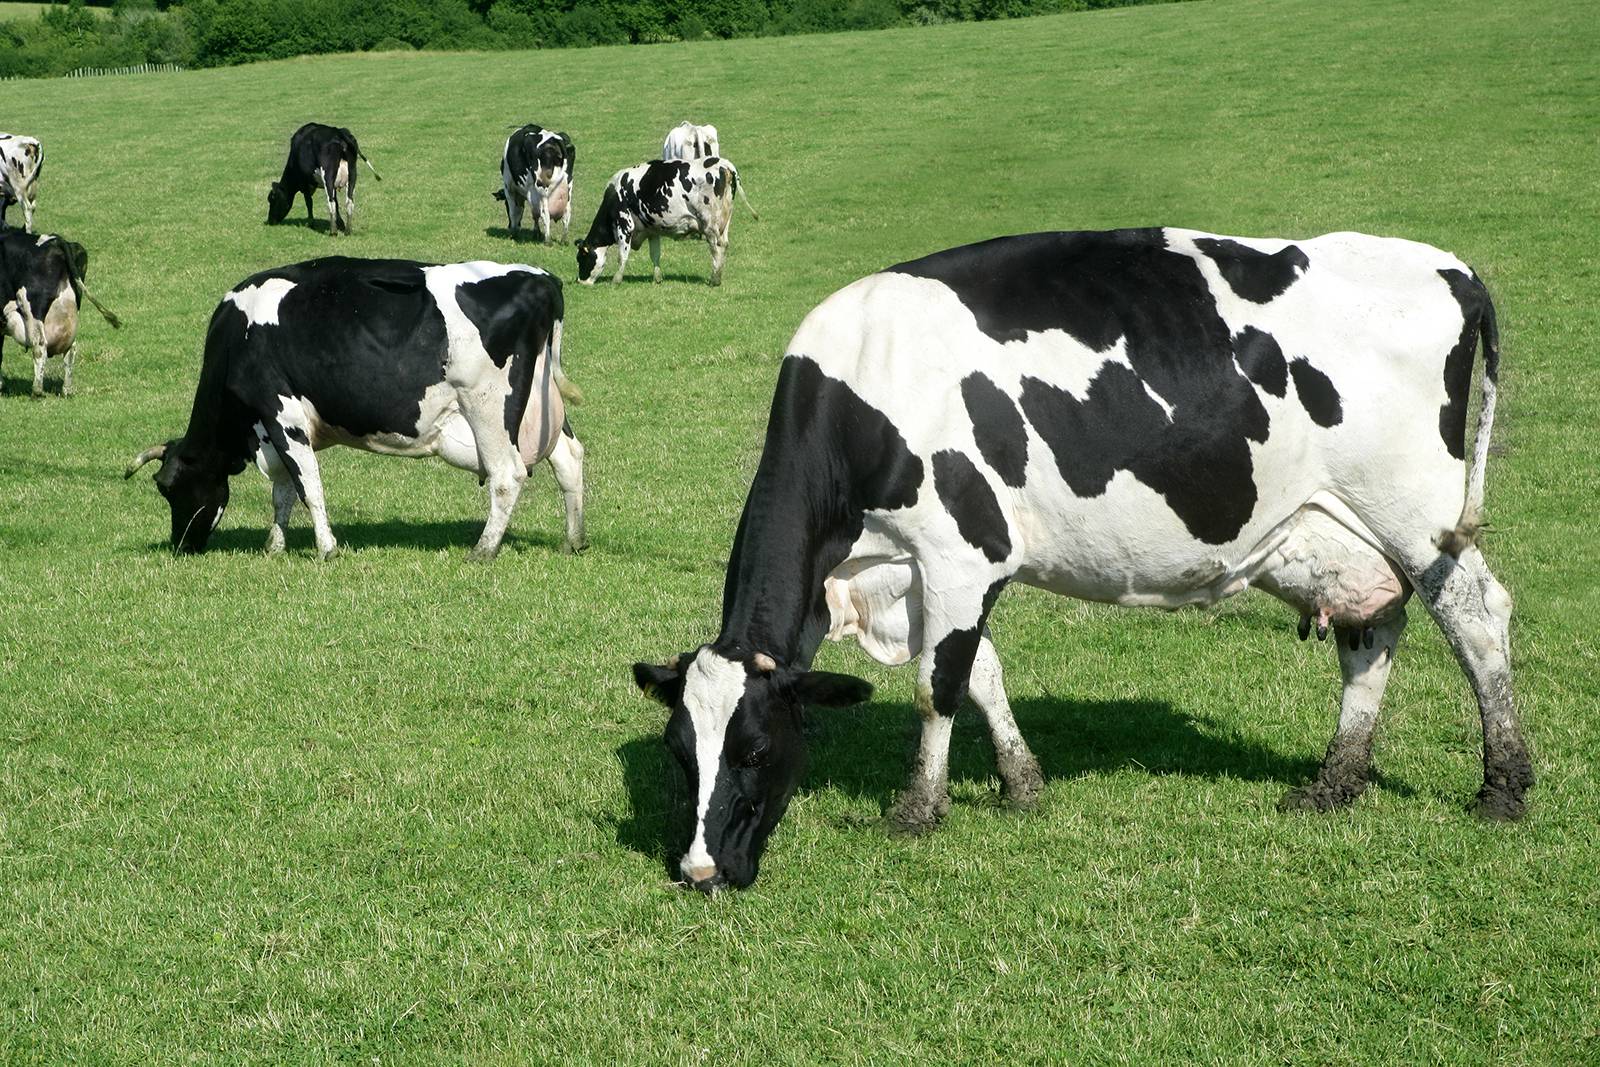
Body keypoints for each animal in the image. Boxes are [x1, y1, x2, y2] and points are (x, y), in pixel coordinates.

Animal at [1, 230, 121, 397]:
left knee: (40, 345)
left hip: (32, 307)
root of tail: (55, 240)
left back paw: (37, 391)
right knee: (71, 348)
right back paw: (67, 390)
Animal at [124, 256, 585, 561]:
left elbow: (307, 486)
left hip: (487, 406)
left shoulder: (282, 415)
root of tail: (542, 279)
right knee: (569, 459)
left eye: (168, 487)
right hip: (541, 407)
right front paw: (275, 546)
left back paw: (483, 550)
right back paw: (574, 540)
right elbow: (282, 491)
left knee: (508, 475)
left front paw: (326, 549)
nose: (181, 546)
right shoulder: (273, 429)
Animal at [575, 157, 757, 287]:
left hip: (710, 224)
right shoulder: (652, 230)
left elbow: (622, 255)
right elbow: (655, 255)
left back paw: (715, 279)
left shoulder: (624, 224)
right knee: (724, 245)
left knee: (716, 248)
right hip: (724, 222)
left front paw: (616, 280)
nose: (580, 282)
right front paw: (657, 278)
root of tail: (723, 163)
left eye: (581, 259)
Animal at [632, 227, 1531, 892]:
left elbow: (937, 685)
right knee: (1372, 630)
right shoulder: (925, 573)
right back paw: (1335, 781)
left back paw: (1504, 784)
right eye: (679, 751)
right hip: (1344, 531)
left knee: (1477, 615)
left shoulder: (961, 551)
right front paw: (1022, 784)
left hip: (1417, 513)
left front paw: (918, 810)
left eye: (754, 750)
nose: (700, 871)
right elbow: (983, 673)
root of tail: (1449, 266)